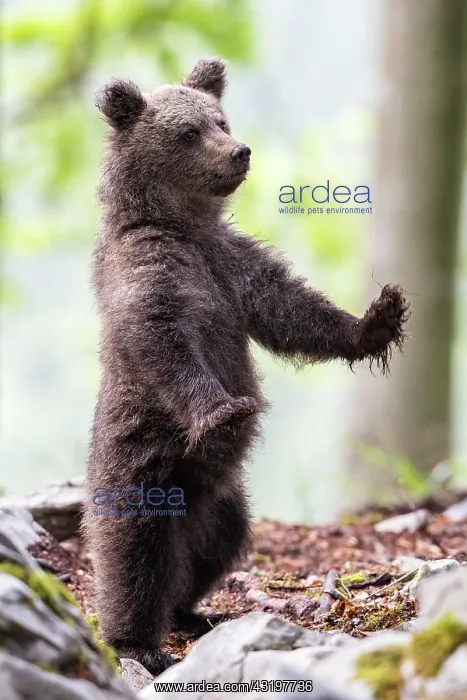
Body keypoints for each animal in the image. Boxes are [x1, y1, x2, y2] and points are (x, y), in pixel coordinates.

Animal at [83, 57, 410, 675]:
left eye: (221, 119)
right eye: (188, 132)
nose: (240, 150)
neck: (184, 226)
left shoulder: (233, 268)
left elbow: (292, 310)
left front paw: (379, 318)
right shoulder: (152, 271)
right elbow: (162, 339)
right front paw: (224, 411)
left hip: (222, 501)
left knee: (213, 547)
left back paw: (190, 611)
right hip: (143, 459)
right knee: (135, 550)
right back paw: (137, 640)